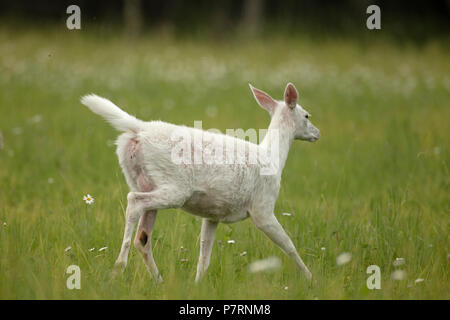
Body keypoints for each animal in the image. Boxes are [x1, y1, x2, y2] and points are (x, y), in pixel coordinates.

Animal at [81, 82, 320, 282]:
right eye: (307, 115)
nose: (317, 133)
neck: (273, 157)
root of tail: (139, 129)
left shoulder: (213, 214)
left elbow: (204, 254)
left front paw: (198, 284)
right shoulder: (263, 207)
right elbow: (288, 244)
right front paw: (311, 278)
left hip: (144, 181)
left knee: (143, 236)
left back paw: (158, 280)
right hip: (175, 186)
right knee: (133, 201)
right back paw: (119, 267)